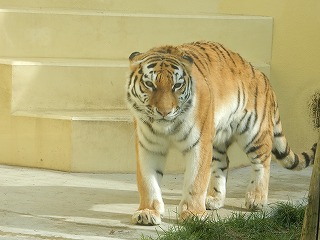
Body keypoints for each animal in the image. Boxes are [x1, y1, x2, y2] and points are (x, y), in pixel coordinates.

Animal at [125, 40, 318, 226]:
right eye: (149, 84)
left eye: (177, 85)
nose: (164, 112)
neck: (167, 128)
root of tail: (261, 75)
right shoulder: (149, 147)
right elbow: (148, 182)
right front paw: (148, 212)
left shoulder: (199, 143)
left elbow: (196, 180)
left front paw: (193, 214)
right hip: (218, 139)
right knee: (222, 164)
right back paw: (214, 199)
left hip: (254, 132)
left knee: (262, 161)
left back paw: (256, 199)